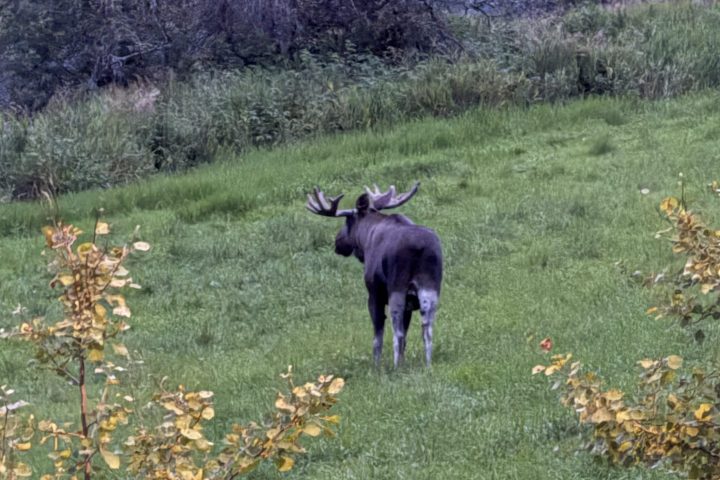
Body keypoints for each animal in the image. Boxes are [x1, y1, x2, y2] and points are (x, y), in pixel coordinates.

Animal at [306, 182, 443, 368]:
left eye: (347, 220)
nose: (337, 242)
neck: (365, 239)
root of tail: (419, 247)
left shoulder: (374, 293)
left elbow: (378, 335)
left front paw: (376, 365)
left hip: (397, 288)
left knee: (397, 332)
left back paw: (396, 367)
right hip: (430, 287)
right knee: (427, 328)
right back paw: (427, 365)